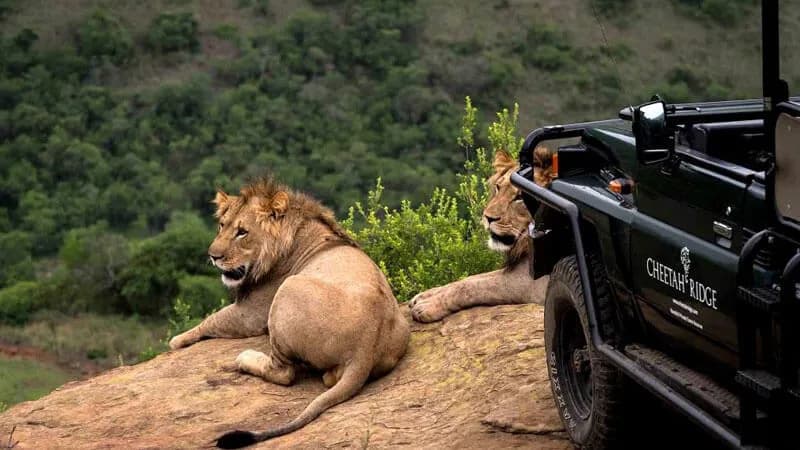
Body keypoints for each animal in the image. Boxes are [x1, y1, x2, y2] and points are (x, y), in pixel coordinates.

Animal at [167, 178, 410, 449]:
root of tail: (365, 348)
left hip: (287, 290)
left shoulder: (252, 313)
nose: (213, 256)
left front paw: (177, 340)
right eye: (222, 225)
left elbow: (211, 320)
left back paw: (246, 358)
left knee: (283, 372)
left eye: (242, 232)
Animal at [409, 147, 554, 323]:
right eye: (498, 187)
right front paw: (425, 295)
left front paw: (428, 306)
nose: (488, 217)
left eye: (520, 197)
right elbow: (470, 278)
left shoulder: (534, 285)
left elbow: (472, 287)